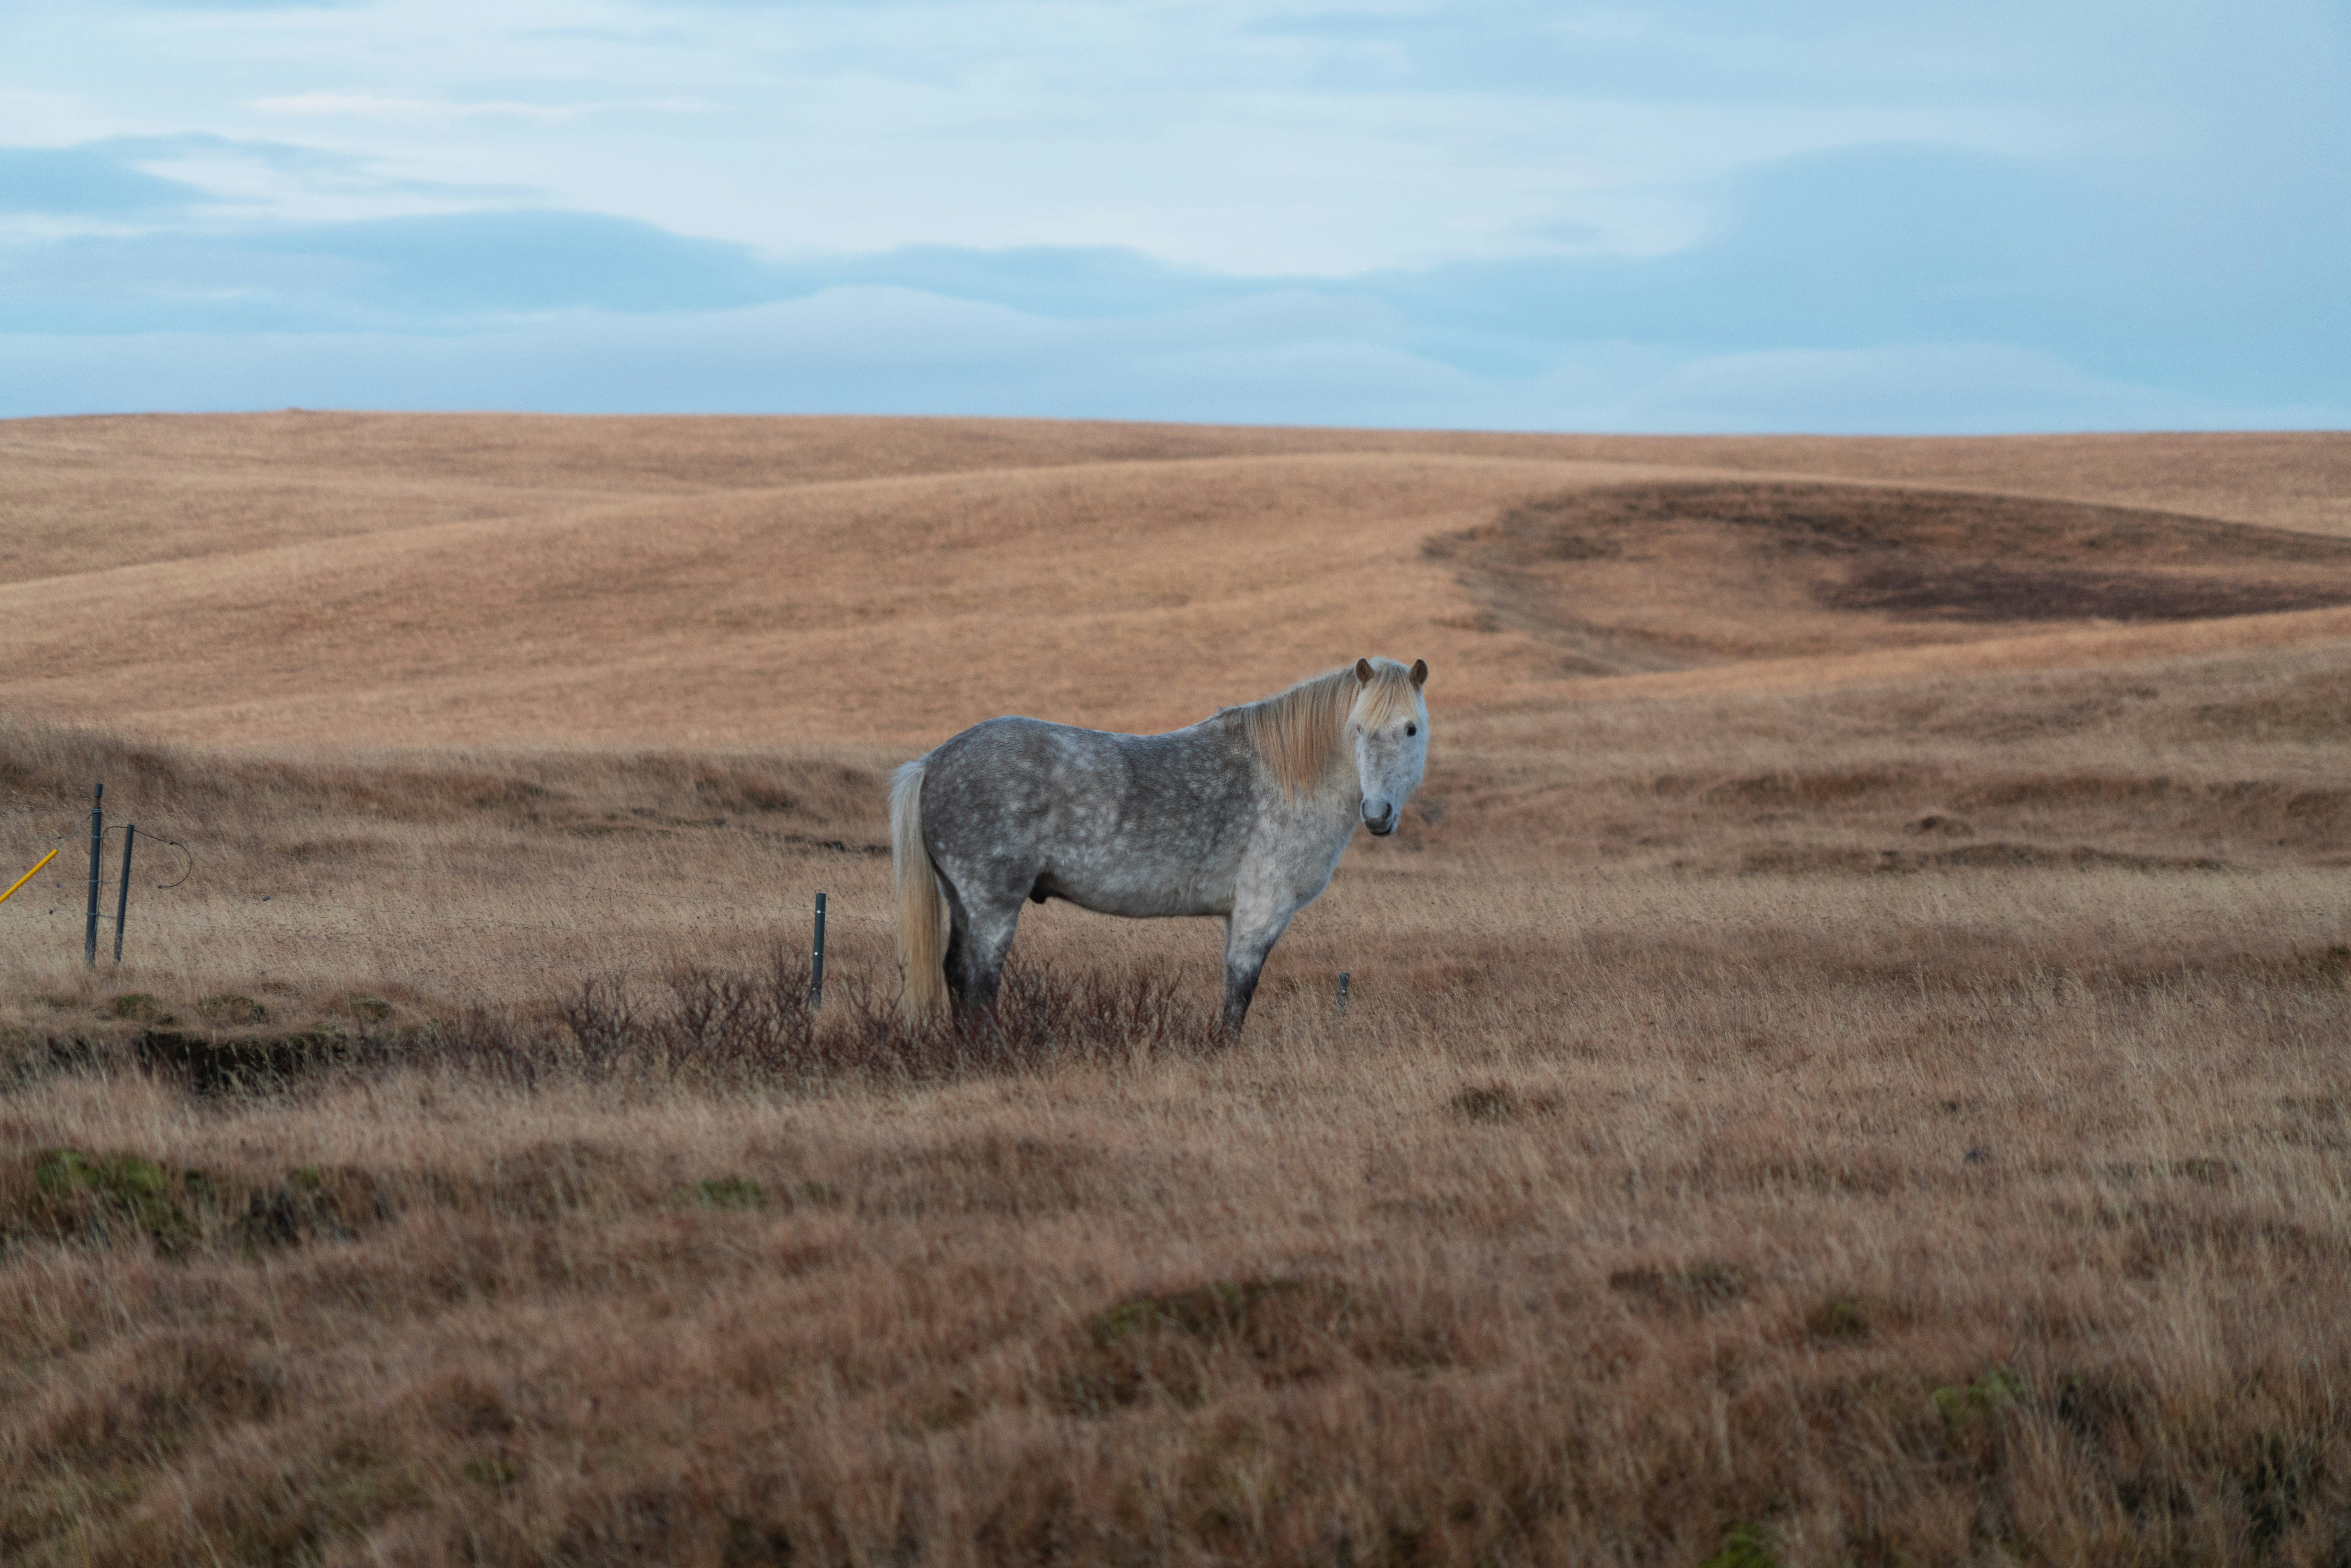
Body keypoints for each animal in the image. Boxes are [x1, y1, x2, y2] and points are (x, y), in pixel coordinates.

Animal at [890, 656, 1430, 1033]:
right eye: (1358, 728)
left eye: (1411, 729)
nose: (1377, 813)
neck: (1287, 778)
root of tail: (933, 762)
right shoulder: (1261, 910)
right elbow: (1239, 995)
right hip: (992, 905)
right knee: (979, 981)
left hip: (963, 901)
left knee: (957, 975)